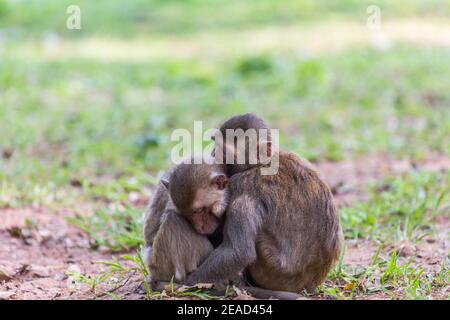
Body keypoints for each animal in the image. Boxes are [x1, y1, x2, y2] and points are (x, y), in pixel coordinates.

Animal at [183, 113, 344, 296]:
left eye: (224, 152)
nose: (213, 153)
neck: (264, 163)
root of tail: (309, 286)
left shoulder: (240, 185)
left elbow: (238, 252)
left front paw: (186, 283)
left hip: (272, 271)